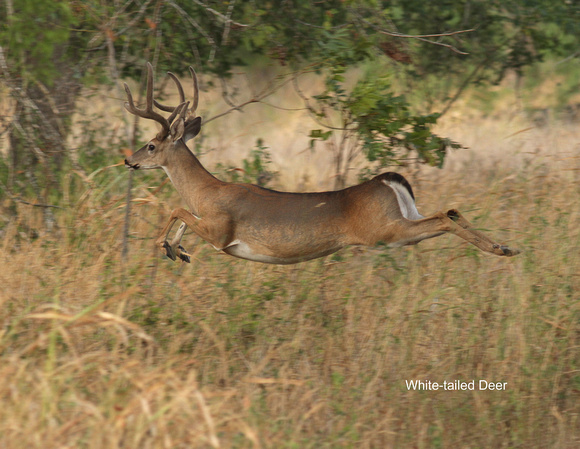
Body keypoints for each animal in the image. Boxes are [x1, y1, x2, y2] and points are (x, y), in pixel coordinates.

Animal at [123, 63, 520, 266]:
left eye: (151, 145)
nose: (128, 160)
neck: (208, 192)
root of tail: (390, 180)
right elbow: (182, 216)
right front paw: (178, 249)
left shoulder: (221, 232)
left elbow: (177, 209)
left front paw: (165, 245)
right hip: (399, 223)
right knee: (451, 210)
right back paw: (506, 247)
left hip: (383, 231)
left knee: (444, 216)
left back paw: (500, 249)